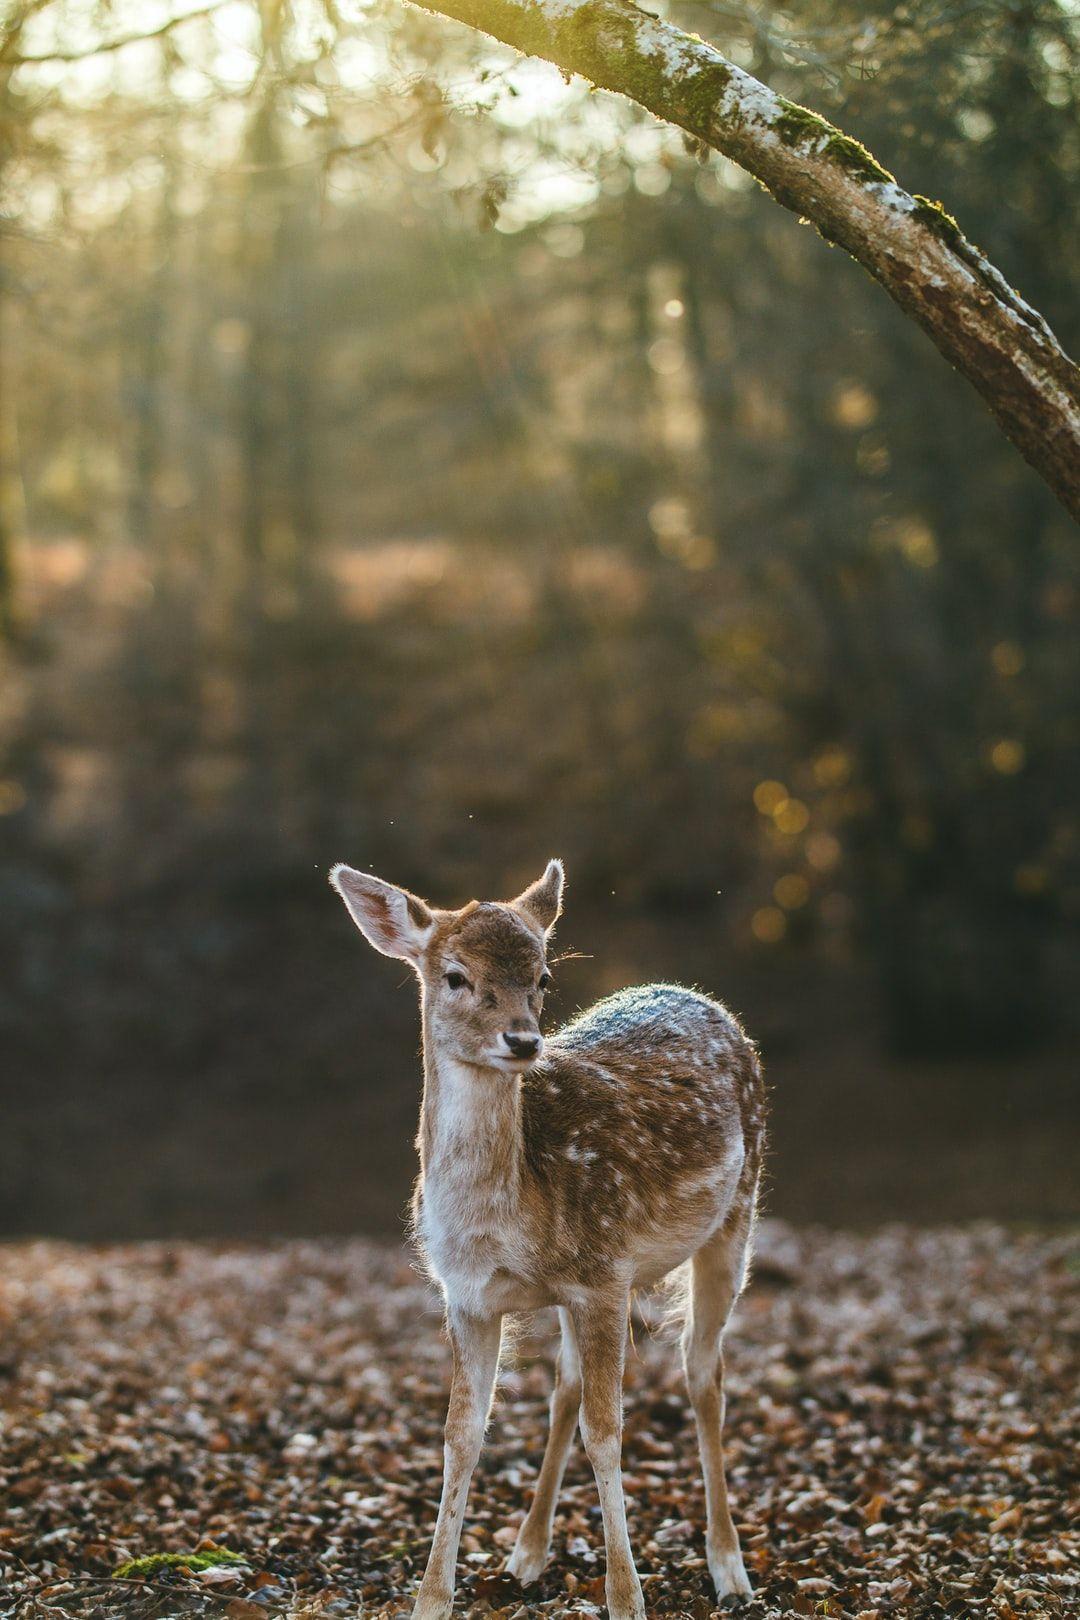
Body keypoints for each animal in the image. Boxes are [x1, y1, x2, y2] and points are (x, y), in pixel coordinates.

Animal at [329, 858, 766, 1620]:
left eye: (543, 978)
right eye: (455, 975)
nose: (524, 1040)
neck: (504, 1225)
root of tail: (702, 999)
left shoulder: (606, 1274)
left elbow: (608, 1432)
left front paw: (627, 1599)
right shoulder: (468, 1298)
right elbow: (462, 1435)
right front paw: (431, 1599)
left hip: (737, 1214)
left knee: (703, 1373)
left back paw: (730, 1569)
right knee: (565, 1386)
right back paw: (527, 1553)